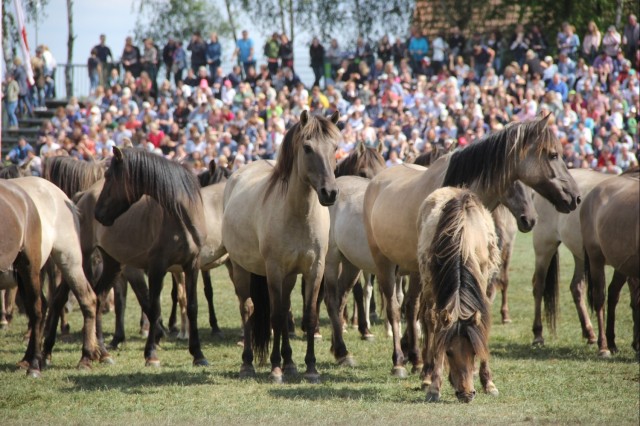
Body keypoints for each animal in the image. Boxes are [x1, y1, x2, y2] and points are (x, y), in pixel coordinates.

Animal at [90, 147, 208, 367]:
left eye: (109, 176)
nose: (98, 214)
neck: (181, 219)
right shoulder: (157, 268)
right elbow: (154, 308)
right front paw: (151, 354)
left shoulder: (192, 266)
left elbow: (192, 306)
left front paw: (198, 354)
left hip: (113, 265)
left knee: (98, 298)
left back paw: (103, 352)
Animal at [222, 111, 340, 383]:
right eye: (307, 148)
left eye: (335, 147)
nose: (329, 193)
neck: (298, 215)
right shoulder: (274, 270)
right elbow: (275, 317)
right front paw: (275, 369)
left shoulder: (314, 270)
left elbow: (308, 316)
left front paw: (310, 368)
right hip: (242, 269)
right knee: (248, 308)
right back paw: (248, 364)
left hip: (289, 276)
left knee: (284, 308)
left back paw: (290, 363)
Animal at [363, 115, 580, 377]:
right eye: (553, 155)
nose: (575, 197)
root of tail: (376, 182)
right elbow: (432, 315)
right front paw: (433, 368)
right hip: (384, 264)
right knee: (395, 309)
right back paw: (398, 361)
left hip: (413, 269)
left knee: (411, 306)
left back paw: (414, 357)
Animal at [418, 187, 500, 403]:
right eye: (448, 352)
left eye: (474, 351)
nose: (466, 394)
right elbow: (438, 329)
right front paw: (434, 386)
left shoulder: (483, 283)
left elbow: (483, 326)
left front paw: (488, 383)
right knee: (430, 322)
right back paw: (428, 376)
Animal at [582, 169, 640, 356]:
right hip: (596, 259)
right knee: (600, 298)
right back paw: (604, 346)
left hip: (622, 264)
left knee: (613, 293)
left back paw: (613, 342)